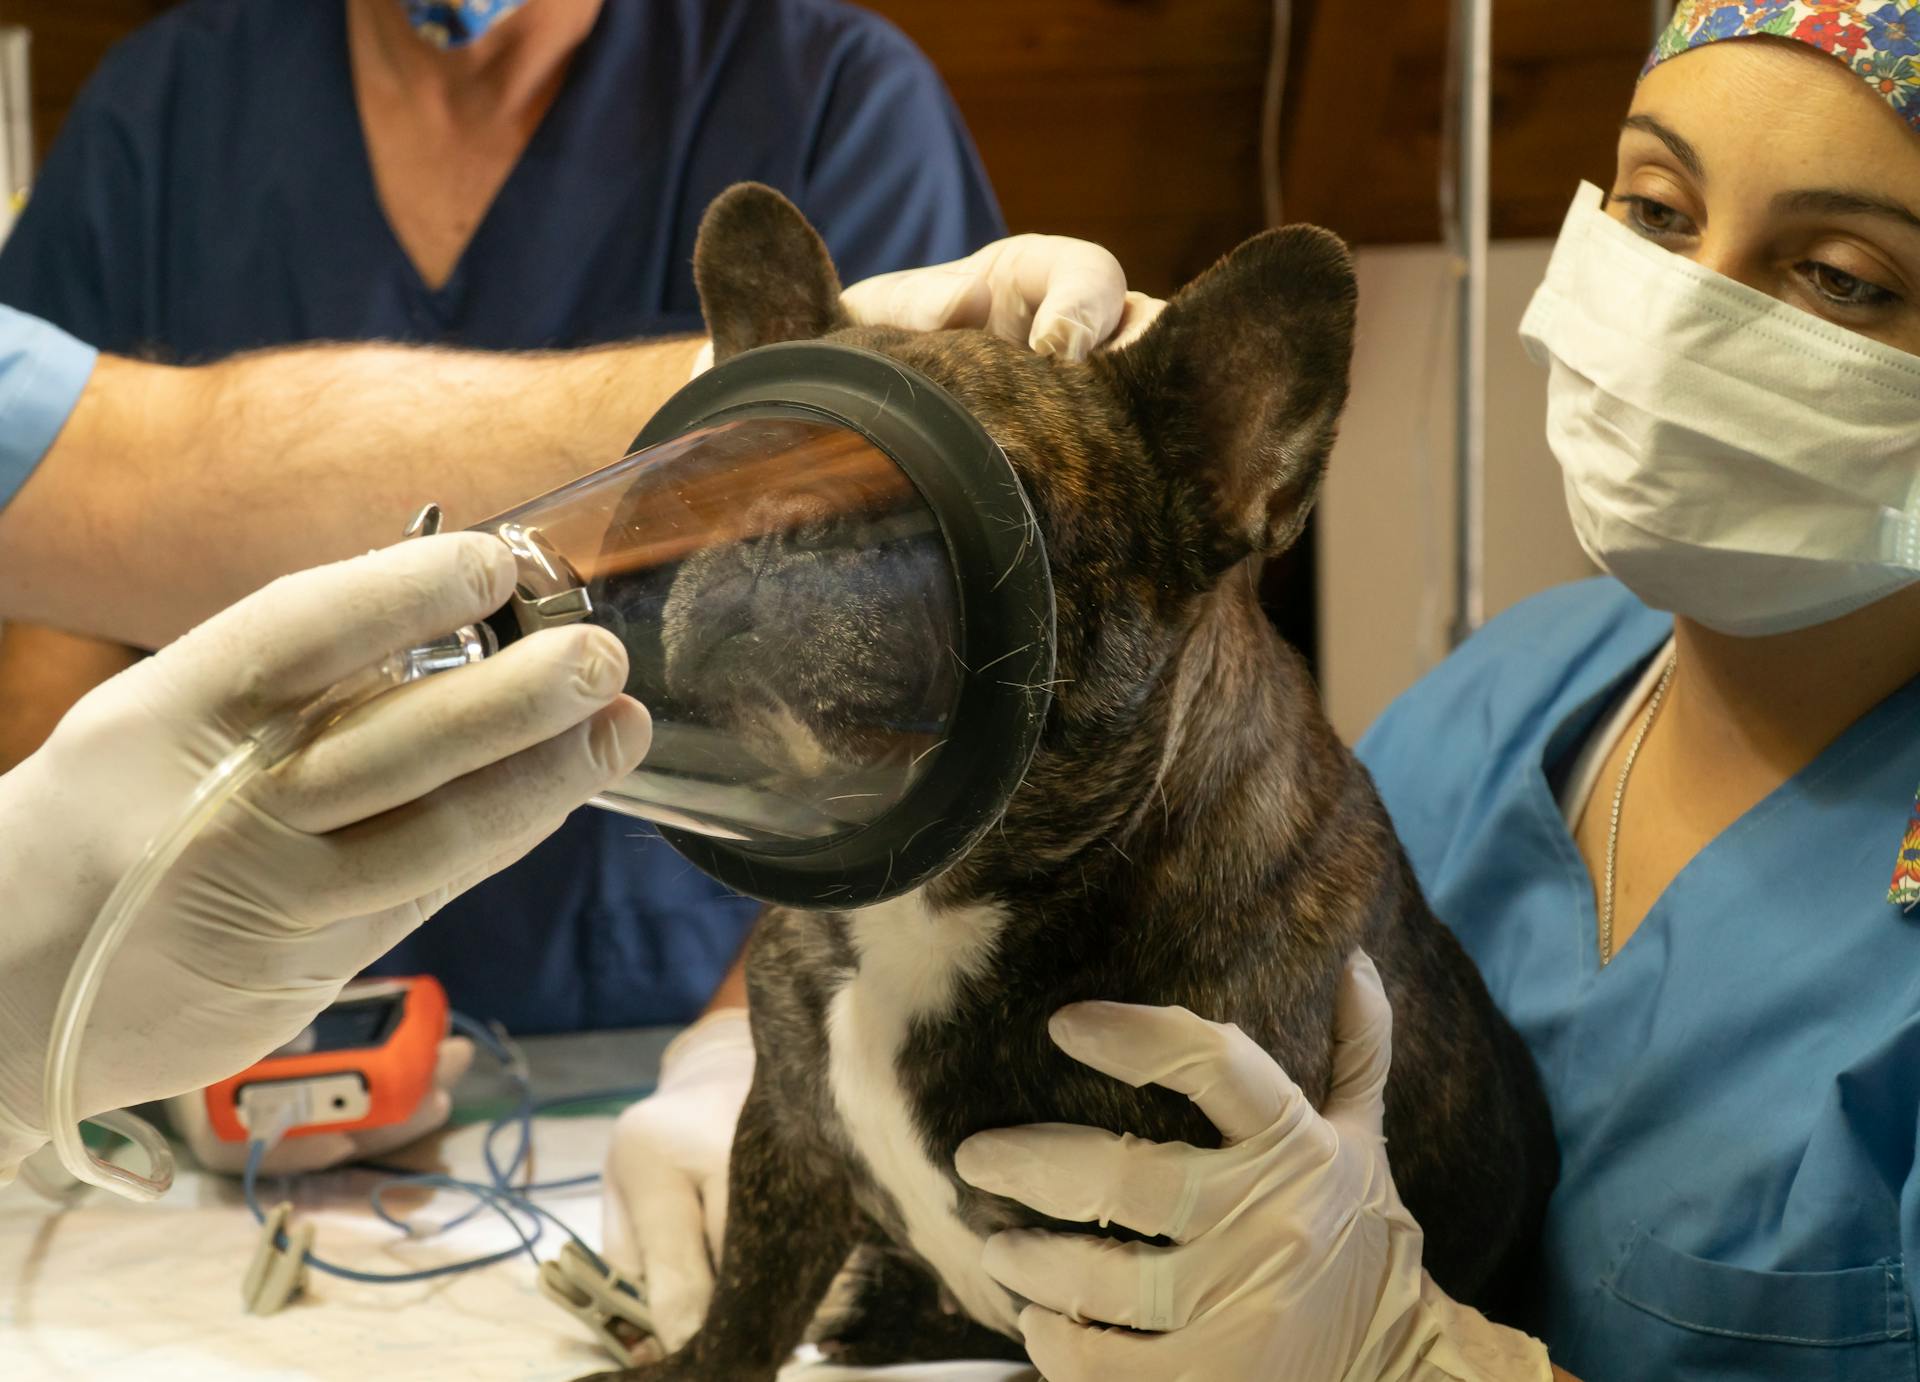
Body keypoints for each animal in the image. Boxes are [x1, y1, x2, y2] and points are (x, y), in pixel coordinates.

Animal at [579, 186, 1559, 1382]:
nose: (774, 513)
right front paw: (690, 1360)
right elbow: (745, 1303)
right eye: (727, 468)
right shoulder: (786, 1133)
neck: (941, 903)